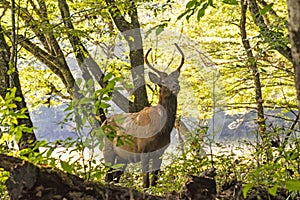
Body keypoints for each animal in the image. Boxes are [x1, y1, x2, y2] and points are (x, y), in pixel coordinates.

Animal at [102, 43, 184, 188]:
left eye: (176, 79)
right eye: (163, 82)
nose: (176, 86)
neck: (161, 130)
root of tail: (103, 123)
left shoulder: (160, 153)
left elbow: (154, 181)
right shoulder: (144, 150)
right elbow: (145, 182)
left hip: (123, 157)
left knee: (115, 177)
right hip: (108, 149)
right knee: (107, 176)